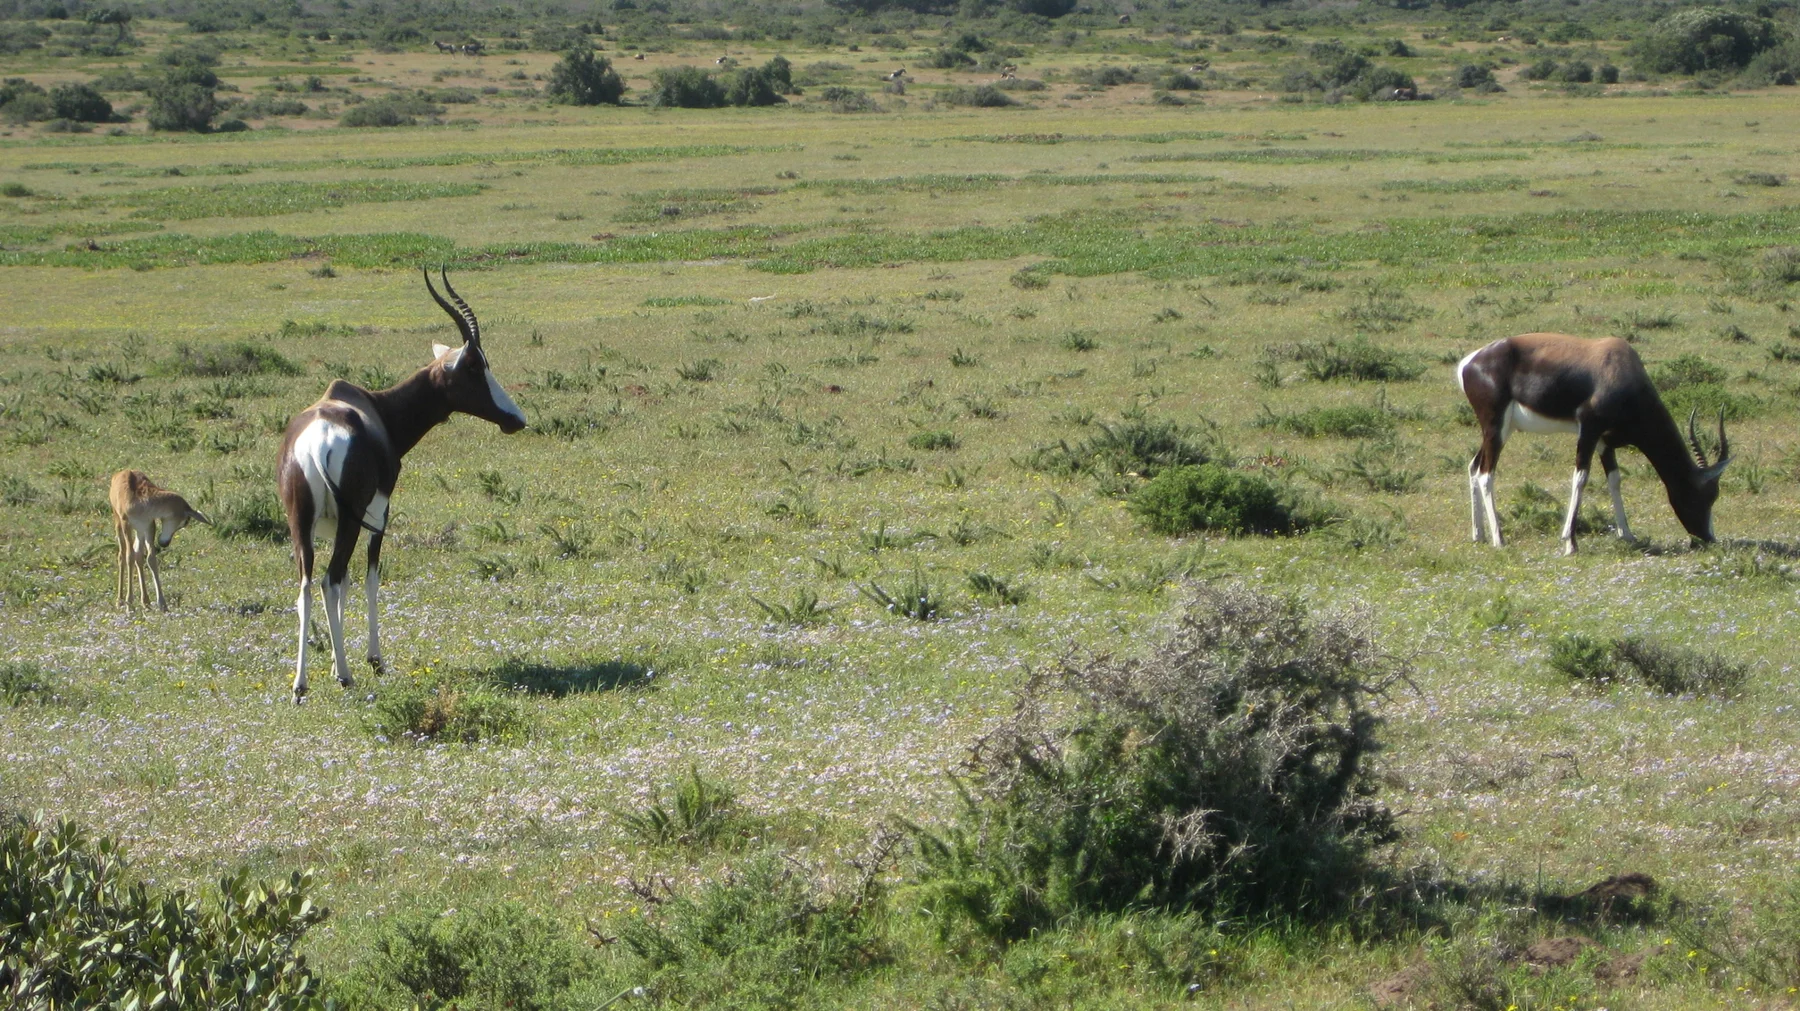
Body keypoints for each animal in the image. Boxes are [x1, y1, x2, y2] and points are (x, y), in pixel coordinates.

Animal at [110, 470, 209, 612]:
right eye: (185, 522)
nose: (164, 543)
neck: (139, 499)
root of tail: (118, 474)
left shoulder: (148, 526)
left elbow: (151, 558)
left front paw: (163, 604)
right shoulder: (126, 525)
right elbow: (129, 557)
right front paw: (129, 605)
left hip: (139, 531)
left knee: (138, 556)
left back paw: (146, 602)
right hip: (118, 523)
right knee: (122, 555)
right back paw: (120, 601)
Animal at [277, 269, 526, 703]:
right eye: (475, 367)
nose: (516, 419)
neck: (375, 408)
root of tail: (318, 439)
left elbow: (342, 585)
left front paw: (334, 666)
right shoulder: (379, 512)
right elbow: (369, 577)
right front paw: (373, 661)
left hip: (300, 522)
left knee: (307, 585)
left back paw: (300, 686)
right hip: (351, 520)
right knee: (330, 579)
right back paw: (347, 677)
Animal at [1458, 332, 1730, 555]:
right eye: (1705, 495)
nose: (1707, 539)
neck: (1618, 365)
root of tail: (1469, 362)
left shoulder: (1604, 442)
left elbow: (1615, 480)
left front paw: (1627, 534)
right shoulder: (1588, 431)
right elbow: (1580, 478)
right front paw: (1570, 543)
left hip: (1500, 431)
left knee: (1473, 466)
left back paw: (1478, 535)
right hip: (1496, 428)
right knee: (1486, 474)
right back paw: (1499, 539)